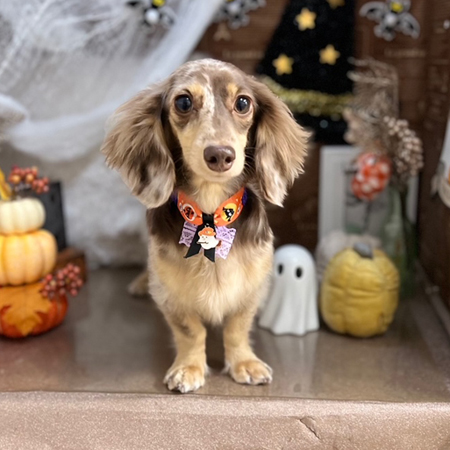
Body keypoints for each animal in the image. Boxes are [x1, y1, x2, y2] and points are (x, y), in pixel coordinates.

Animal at [101, 59, 308, 393]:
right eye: (183, 102)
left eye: (243, 103)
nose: (220, 155)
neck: (209, 213)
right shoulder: (172, 296)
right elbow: (190, 332)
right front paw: (189, 368)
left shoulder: (250, 290)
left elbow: (237, 328)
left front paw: (244, 363)